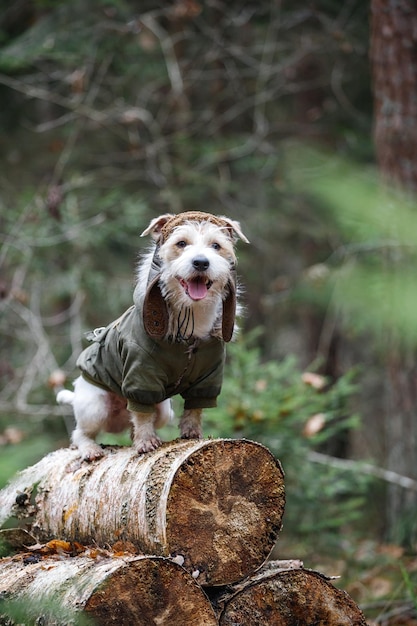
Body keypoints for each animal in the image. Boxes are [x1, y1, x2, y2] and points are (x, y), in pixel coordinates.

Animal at [57, 212, 249, 460]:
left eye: (216, 246)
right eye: (181, 243)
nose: (201, 262)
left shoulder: (208, 377)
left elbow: (195, 407)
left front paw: (192, 433)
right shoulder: (141, 376)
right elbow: (142, 413)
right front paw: (147, 441)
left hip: (164, 409)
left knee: (134, 422)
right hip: (95, 406)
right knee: (81, 433)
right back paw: (90, 449)